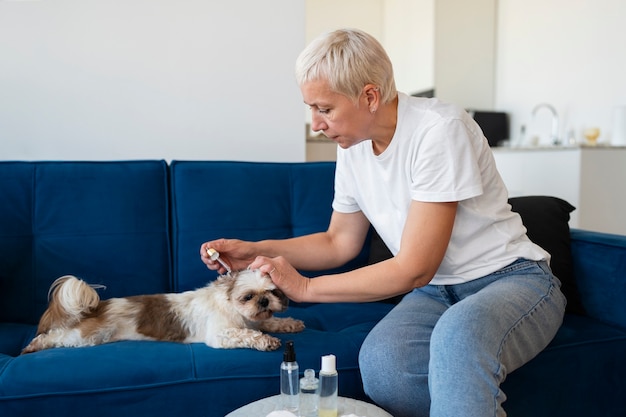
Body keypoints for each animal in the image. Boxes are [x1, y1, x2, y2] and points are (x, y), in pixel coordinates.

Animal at [23, 268, 304, 352]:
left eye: (272, 293)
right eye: (248, 296)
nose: (264, 302)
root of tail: (98, 307)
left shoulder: (254, 320)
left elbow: (269, 323)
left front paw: (289, 323)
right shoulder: (221, 334)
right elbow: (247, 334)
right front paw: (267, 341)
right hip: (86, 337)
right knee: (55, 336)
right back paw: (33, 346)